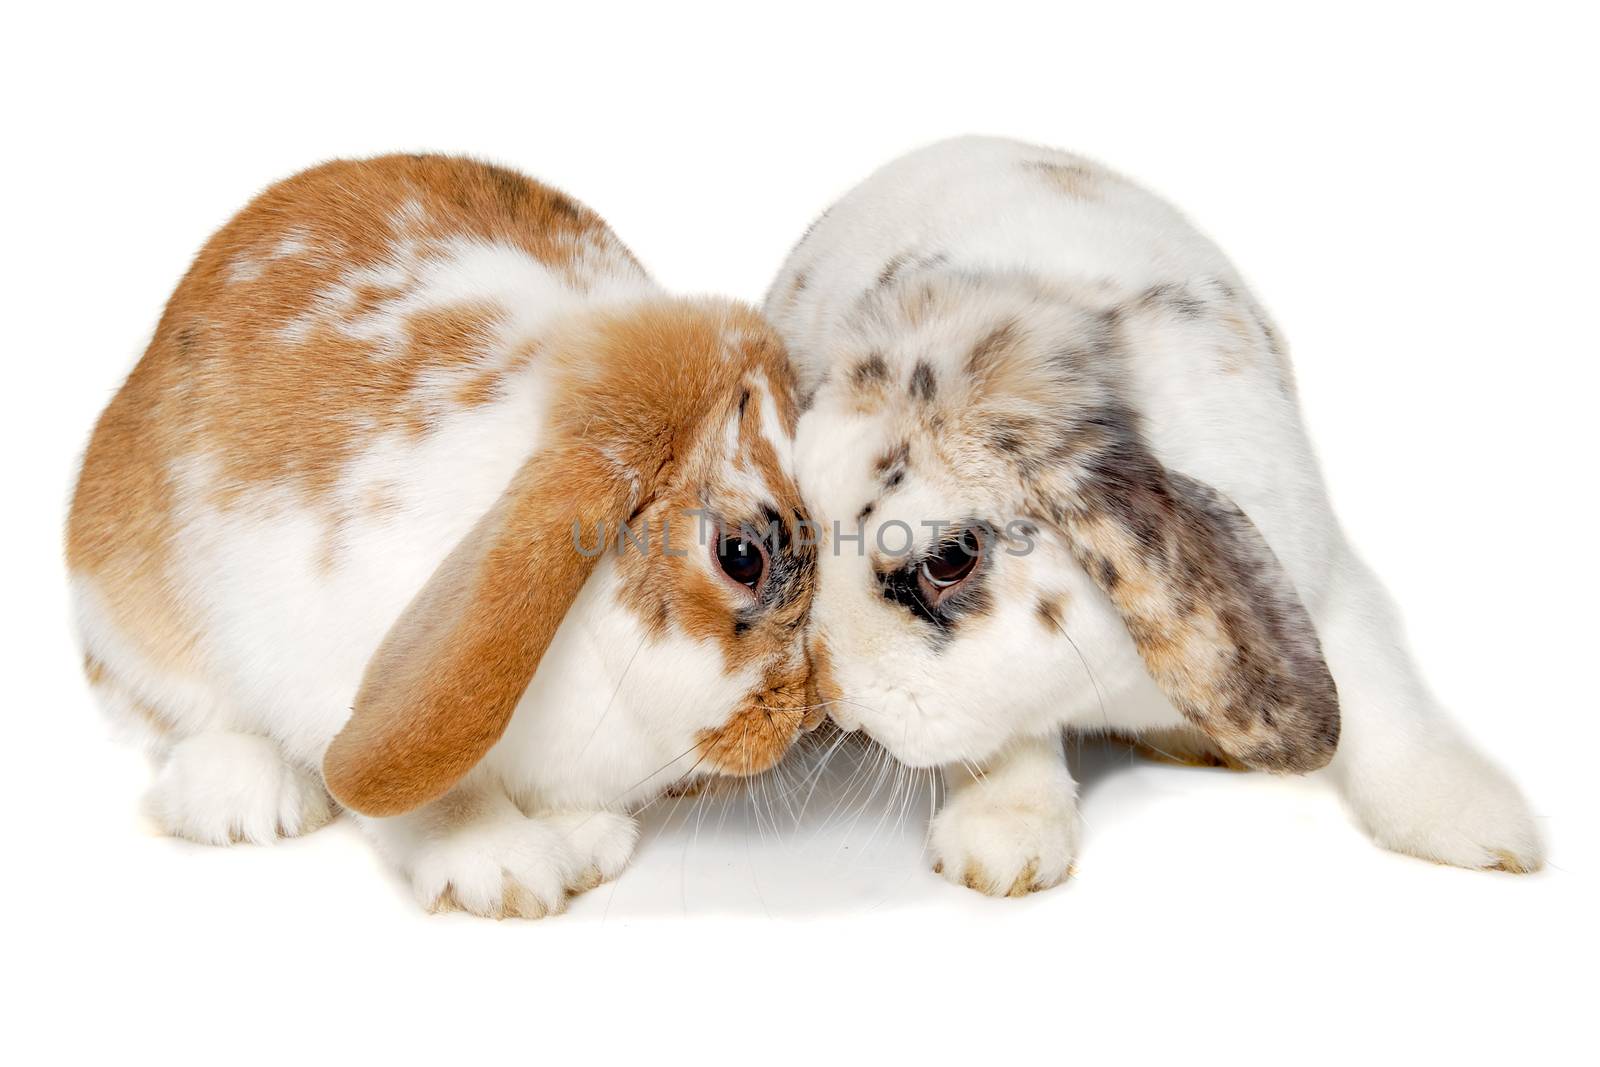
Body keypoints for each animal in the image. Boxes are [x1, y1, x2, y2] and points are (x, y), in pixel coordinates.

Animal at [67, 156, 819, 921]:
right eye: (740, 557)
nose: (806, 713)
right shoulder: (333, 673)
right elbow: (435, 796)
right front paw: (505, 868)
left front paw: (584, 840)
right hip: (130, 622)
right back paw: (247, 800)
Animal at [768, 137, 1542, 895]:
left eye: (950, 558)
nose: (835, 693)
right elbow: (1008, 738)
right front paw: (1004, 843)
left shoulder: (1325, 583)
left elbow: (1387, 701)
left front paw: (1482, 826)